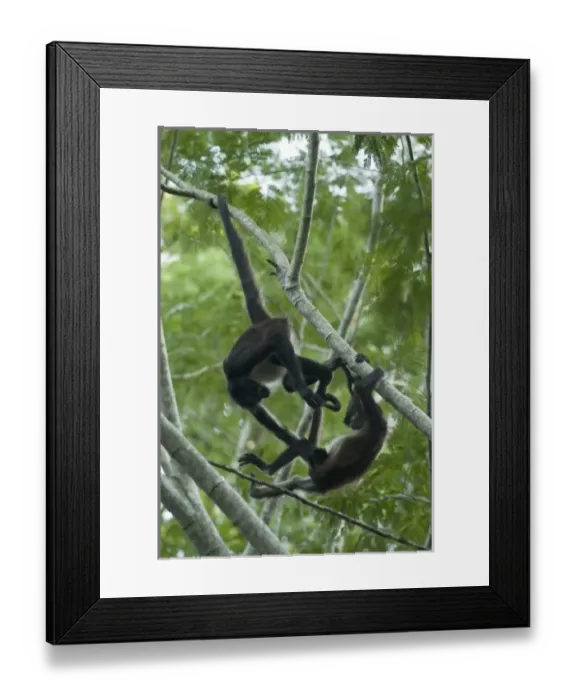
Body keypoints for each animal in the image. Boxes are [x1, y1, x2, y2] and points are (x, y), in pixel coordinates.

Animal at [211, 194, 341, 443]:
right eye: (256, 397)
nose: (265, 393)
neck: (233, 380)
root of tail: (260, 323)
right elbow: (279, 431)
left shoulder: (236, 367)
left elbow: (274, 341)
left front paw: (304, 391)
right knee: (284, 373)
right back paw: (320, 373)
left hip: (279, 326)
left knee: (276, 349)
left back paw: (318, 376)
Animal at [238, 356, 388, 497]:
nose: (352, 420)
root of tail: (325, 484)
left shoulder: (374, 420)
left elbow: (360, 390)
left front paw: (371, 375)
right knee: (296, 481)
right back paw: (256, 491)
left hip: (317, 464)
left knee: (303, 446)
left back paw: (267, 468)